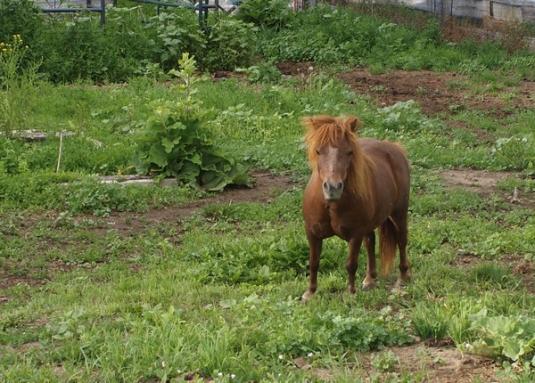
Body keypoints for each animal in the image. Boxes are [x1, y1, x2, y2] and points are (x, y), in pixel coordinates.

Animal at [302, 115, 410, 302]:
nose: (333, 187)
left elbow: (351, 264)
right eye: (318, 151)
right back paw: (369, 279)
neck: (331, 205)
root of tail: (395, 148)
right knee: (370, 242)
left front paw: (350, 293)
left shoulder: (355, 234)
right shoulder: (312, 232)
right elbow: (314, 262)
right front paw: (310, 293)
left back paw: (401, 279)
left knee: (401, 241)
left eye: (349, 152)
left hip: (399, 214)